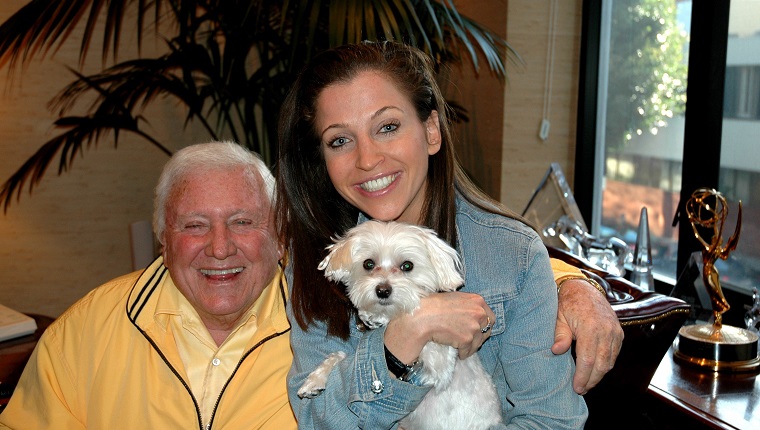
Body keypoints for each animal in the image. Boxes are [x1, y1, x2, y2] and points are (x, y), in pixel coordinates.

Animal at [298, 220, 504, 428]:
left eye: (407, 265)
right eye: (368, 264)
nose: (382, 290)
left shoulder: (439, 363)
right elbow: (347, 356)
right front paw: (314, 381)